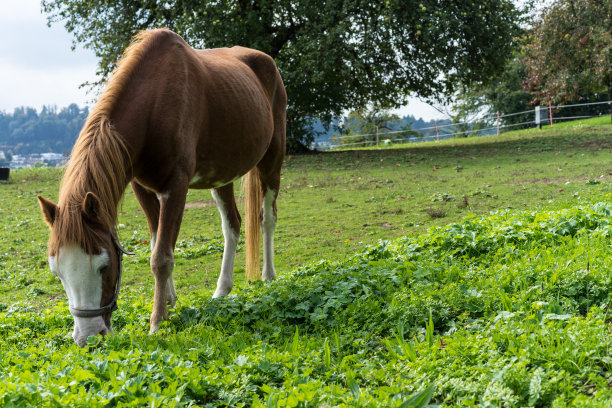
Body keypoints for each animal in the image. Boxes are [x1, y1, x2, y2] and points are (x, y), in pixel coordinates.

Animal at [37, 28, 286, 348]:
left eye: (104, 266)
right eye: (57, 271)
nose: (88, 338)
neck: (153, 105)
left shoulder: (175, 187)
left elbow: (161, 257)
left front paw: (157, 322)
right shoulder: (141, 188)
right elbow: (157, 242)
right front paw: (168, 301)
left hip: (272, 160)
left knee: (267, 219)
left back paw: (268, 276)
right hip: (222, 175)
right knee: (232, 224)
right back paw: (222, 290)